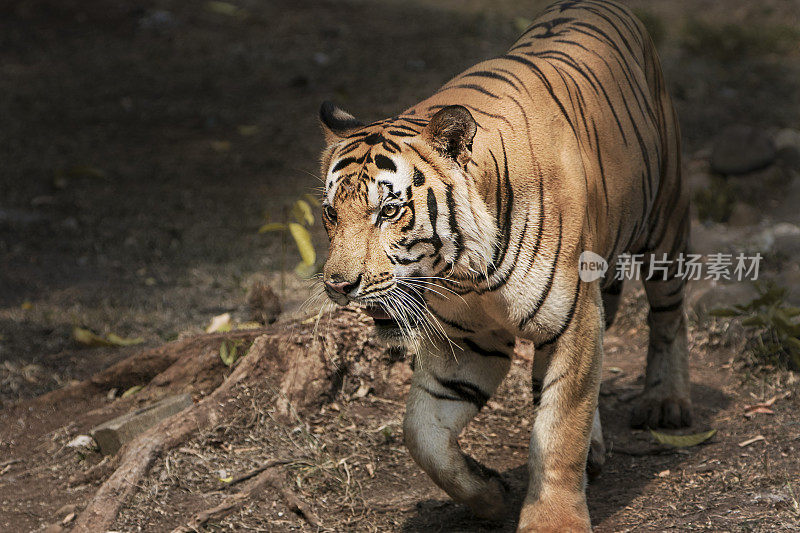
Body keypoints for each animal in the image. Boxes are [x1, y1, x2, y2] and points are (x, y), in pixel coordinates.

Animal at [316, 1, 692, 528]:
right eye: (331, 213)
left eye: (389, 211)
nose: (338, 286)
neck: (466, 275)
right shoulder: (467, 342)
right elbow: (421, 434)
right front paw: (489, 496)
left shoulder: (572, 322)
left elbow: (559, 430)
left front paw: (552, 522)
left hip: (665, 221)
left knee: (668, 316)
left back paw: (666, 402)